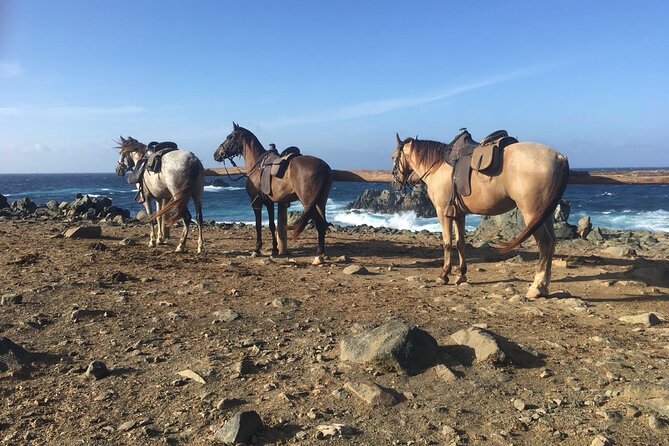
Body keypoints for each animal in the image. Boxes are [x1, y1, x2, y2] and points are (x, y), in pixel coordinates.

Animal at [213, 123, 333, 263]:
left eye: (229, 137)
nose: (216, 154)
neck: (257, 166)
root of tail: (324, 167)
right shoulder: (269, 202)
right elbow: (271, 224)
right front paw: (275, 249)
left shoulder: (256, 202)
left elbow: (258, 225)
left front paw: (257, 249)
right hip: (321, 202)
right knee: (323, 224)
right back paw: (322, 253)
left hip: (309, 203)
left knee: (320, 225)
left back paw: (319, 255)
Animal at [392, 131, 569, 298]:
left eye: (393, 157)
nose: (394, 183)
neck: (438, 166)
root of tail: (560, 157)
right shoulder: (459, 214)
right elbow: (460, 243)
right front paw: (461, 275)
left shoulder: (442, 212)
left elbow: (447, 243)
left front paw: (444, 275)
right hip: (545, 214)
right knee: (552, 242)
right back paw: (544, 286)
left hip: (532, 213)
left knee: (545, 243)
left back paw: (536, 288)